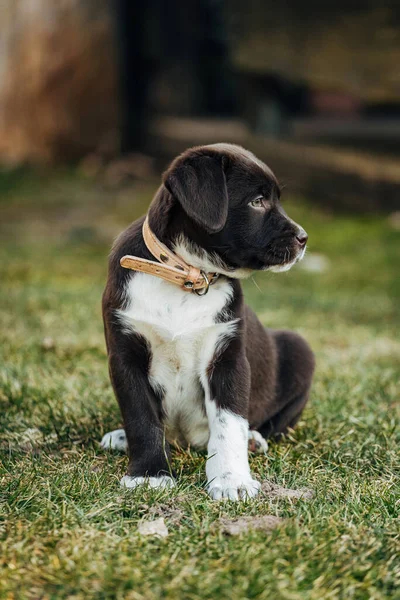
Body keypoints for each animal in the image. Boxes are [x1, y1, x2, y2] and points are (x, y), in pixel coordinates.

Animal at [101, 144, 314, 502]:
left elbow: (229, 424)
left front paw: (231, 480)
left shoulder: (228, 357)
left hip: (300, 349)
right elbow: (141, 418)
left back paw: (253, 440)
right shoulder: (125, 356)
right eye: (258, 201)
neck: (188, 276)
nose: (304, 238)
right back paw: (120, 437)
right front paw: (149, 475)